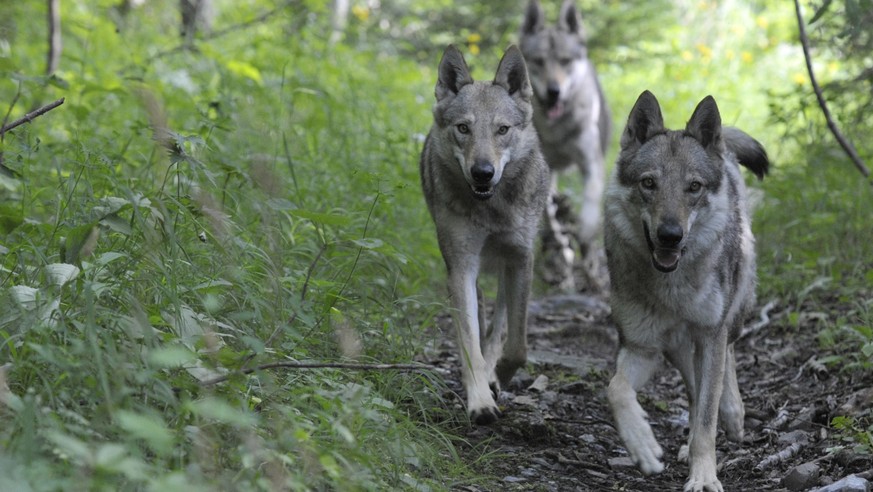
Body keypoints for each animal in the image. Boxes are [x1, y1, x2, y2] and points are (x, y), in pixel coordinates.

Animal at [418, 44, 548, 424]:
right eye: (464, 128)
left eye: (502, 129)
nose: (482, 172)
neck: (492, 209)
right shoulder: (461, 266)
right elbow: (469, 344)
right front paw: (479, 401)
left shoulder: (520, 259)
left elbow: (517, 346)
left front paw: (498, 376)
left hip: (507, 269)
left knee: (499, 327)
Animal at [516, 0, 612, 292]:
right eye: (538, 61)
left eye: (565, 61)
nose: (553, 91)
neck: (556, 129)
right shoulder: (544, 169)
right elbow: (550, 215)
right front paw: (561, 242)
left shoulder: (591, 165)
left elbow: (589, 209)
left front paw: (585, 231)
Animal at [604, 90, 768, 490]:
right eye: (649, 184)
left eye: (693, 187)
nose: (670, 235)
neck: (671, 287)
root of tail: (723, 154)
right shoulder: (641, 347)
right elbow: (616, 390)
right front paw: (643, 446)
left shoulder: (710, 335)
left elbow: (708, 419)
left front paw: (704, 477)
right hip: (677, 348)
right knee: (693, 391)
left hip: (730, 318)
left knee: (726, 362)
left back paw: (733, 415)